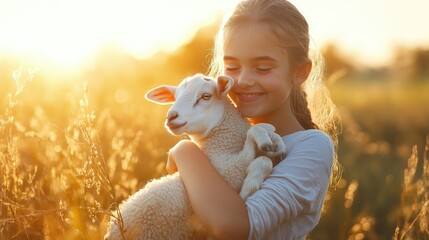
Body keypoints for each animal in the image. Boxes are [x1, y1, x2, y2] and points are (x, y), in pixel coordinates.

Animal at [104, 74, 286, 239]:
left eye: (206, 96)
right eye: (175, 97)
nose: (171, 116)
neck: (220, 148)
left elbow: (265, 153)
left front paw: (276, 142)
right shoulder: (229, 172)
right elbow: (260, 153)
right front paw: (249, 188)